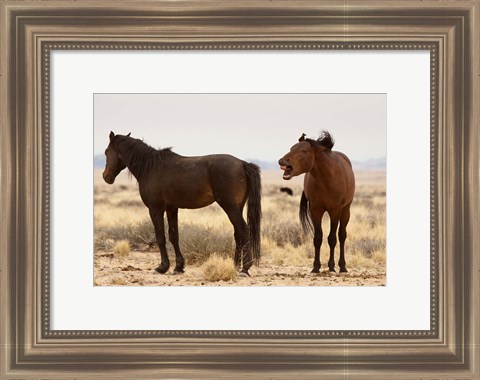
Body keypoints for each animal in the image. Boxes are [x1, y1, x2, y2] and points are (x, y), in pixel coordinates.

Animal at [102, 133, 262, 276]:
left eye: (106, 152)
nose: (106, 177)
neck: (151, 167)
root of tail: (242, 163)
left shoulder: (155, 209)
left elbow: (160, 237)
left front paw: (162, 267)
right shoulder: (172, 209)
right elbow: (174, 236)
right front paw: (178, 267)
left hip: (230, 207)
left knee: (244, 231)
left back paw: (245, 269)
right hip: (237, 207)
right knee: (238, 233)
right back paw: (234, 265)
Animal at [278, 131, 356, 274]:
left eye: (303, 150)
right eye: (291, 148)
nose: (282, 161)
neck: (326, 179)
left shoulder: (335, 210)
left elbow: (332, 238)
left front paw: (331, 266)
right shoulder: (315, 210)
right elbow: (318, 238)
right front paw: (315, 267)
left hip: (345, 210)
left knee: (342, 235)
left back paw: (342, 266)